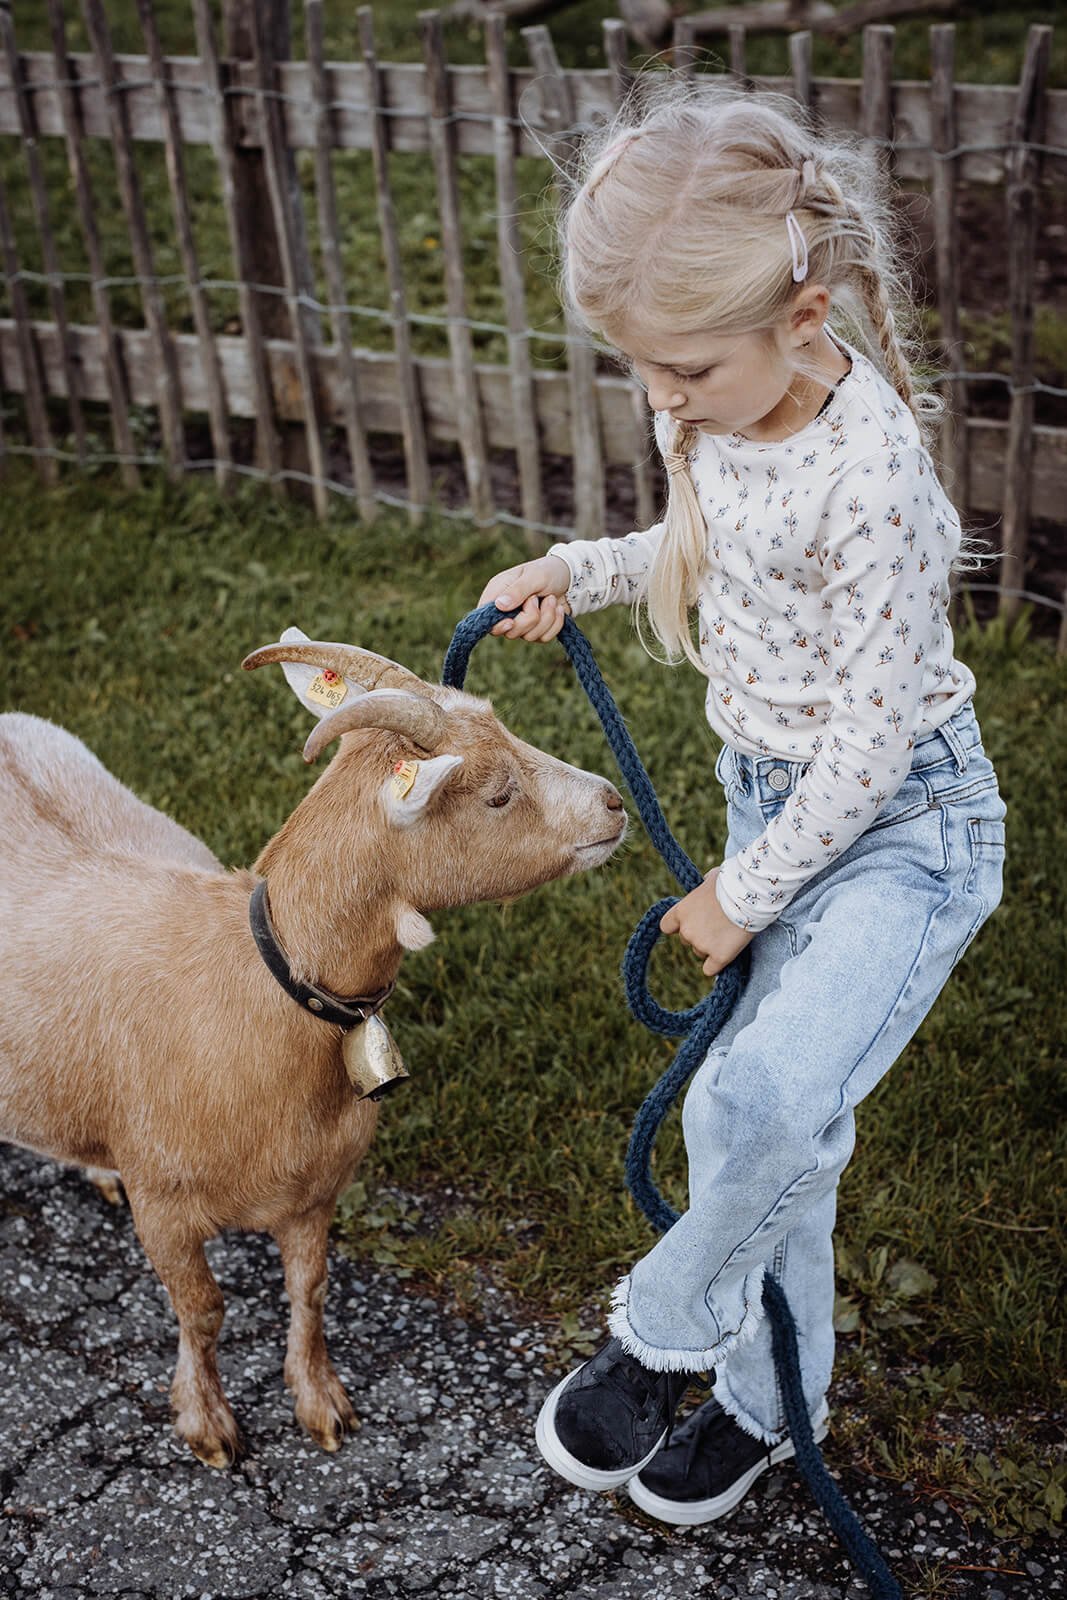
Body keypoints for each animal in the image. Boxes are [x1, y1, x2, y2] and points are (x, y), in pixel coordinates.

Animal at [0, 630, 627, 1465]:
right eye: (495, 794)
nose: (615, 802)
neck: (253, 993)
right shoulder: (163, 1207)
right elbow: (203, 1310)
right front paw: (208, 1425)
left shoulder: (315, 1191)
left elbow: (311, 1290)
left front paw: (322, 1404)